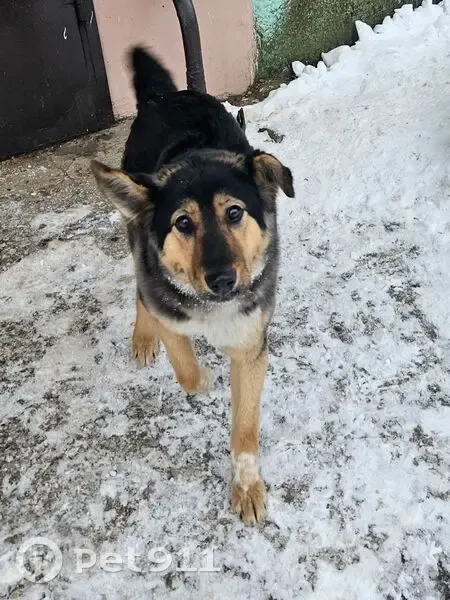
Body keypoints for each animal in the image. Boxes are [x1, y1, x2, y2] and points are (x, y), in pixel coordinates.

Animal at [91, 47, 294, 524]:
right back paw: (143, 338)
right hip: (135, 236)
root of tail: (167, 95)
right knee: (140, 293)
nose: (222, 280)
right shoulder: (169, 310)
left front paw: (247, 486)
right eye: (184, 223)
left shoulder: (252, 344)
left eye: (234, 213)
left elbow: (245, 427)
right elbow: (186, 370)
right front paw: (202, 378)